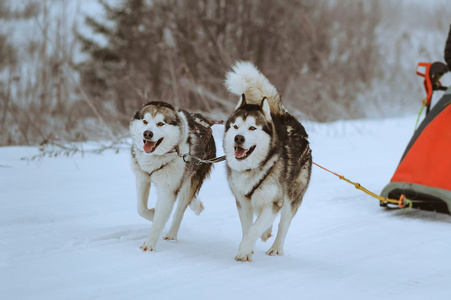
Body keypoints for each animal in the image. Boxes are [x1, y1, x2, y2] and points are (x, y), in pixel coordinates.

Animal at [130, 102, 216, 252]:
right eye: (145, 121)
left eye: (160, 123)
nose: (147, 133)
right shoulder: (142, 178)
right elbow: (140, 208)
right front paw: (152, 214)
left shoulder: (168, 190)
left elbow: (159, 220)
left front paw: (149, 244)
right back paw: (196, 205)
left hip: (192, 178)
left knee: (181, 209)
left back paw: (171, 235)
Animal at [224, 62, 312, 262]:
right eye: (235, 126)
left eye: (252, 128)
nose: (239, 138)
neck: (252, 168)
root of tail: (287, 118)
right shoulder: (243, 202)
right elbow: (249, 227)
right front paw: (247, 251)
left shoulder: (273, 203)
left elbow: (254, 229)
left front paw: (244, 249)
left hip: (290, 197)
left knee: (284, 223)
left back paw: (276, 248)